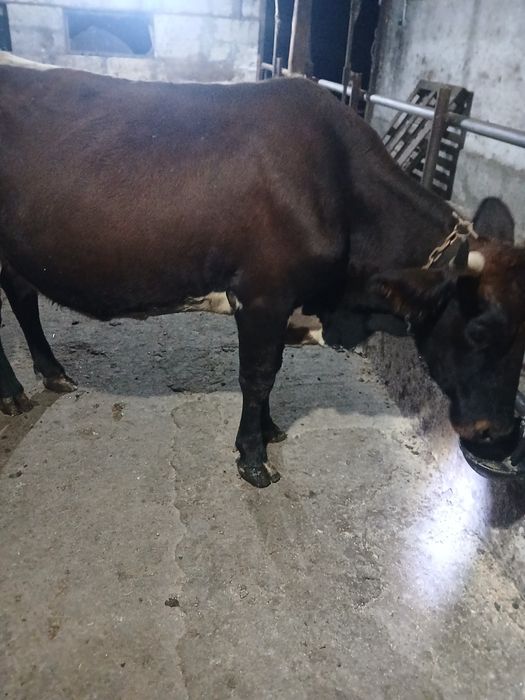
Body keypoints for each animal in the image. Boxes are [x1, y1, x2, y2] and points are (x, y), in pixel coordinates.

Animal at [1, 53, 524, 488]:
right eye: (478, 332)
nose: (498, 432)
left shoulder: (282, 301)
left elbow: (271, 368)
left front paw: (269, 430)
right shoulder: (263, 294)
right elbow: (257, 376)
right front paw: (253, 458)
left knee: (22, 296)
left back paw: (52, 374)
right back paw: (13, 394)